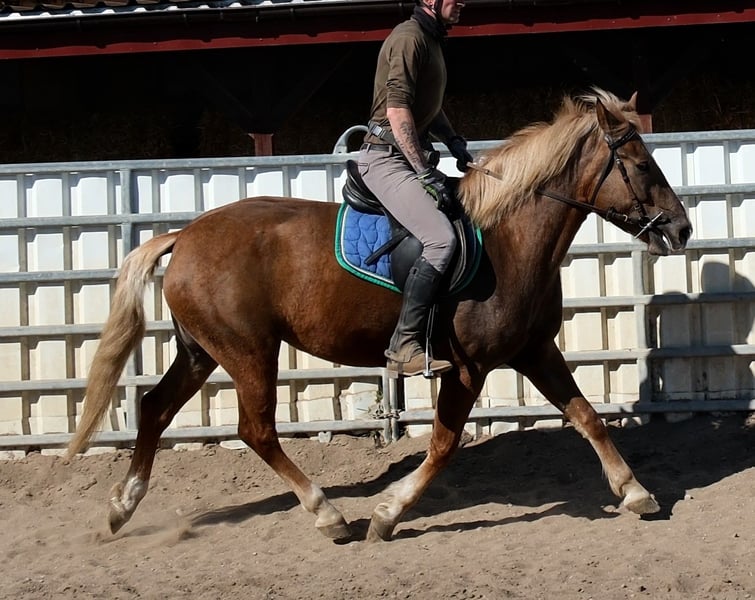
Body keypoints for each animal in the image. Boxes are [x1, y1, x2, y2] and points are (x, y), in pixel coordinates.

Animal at [67, 88, 692, 542]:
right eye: (640, 163)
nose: (681, 229)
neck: (507, 239)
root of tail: (186, 235)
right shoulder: (468, 368)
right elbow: (443, 445)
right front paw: (388, 515)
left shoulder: (534, 350)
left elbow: (588, 417)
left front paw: (636, 492)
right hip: (248, 351)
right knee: (256, 430)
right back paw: (328, 515)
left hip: (202, 351)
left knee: (154, 408)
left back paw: (121, 509)